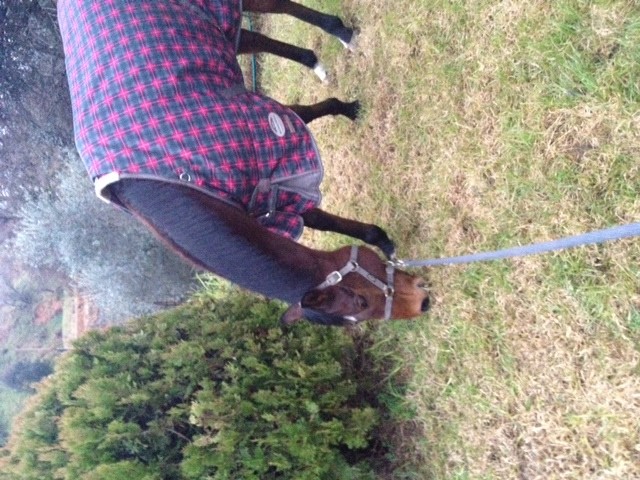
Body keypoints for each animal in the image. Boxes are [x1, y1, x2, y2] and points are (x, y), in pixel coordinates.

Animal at [56, 0, 430, 326]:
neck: (166, 184)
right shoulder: (271, 195)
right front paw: (383, 241)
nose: (423, 302)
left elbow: (305, 114)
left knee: (279, 8)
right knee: (256, 38)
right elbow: (325, 221)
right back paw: (316, 61)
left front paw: (348, 108)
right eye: (360, 306)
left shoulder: (276, 148)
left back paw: (342, 34)